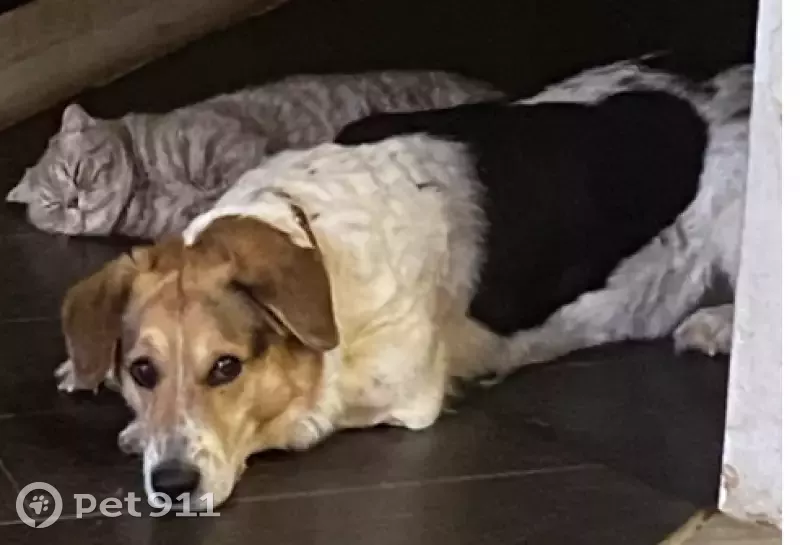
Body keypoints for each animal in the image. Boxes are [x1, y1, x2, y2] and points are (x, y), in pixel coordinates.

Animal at [7, 70, 504, 240]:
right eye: (52, 204)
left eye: (76, 172)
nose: (73, 203)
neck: (148, 185)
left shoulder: (228, 144)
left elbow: (241, 179)